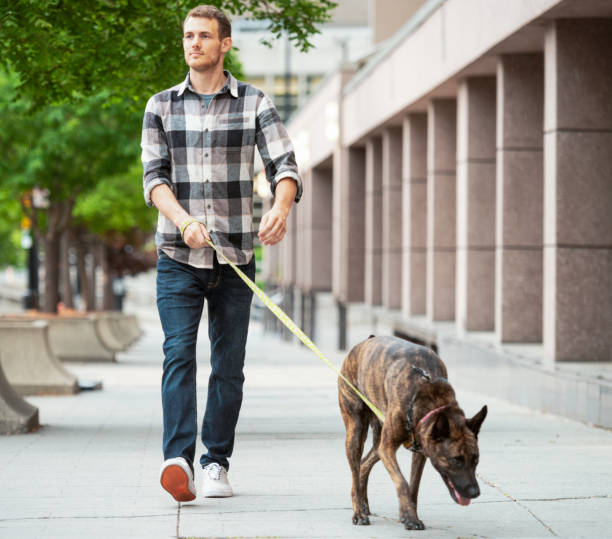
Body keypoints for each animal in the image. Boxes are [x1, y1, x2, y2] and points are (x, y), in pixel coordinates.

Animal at [340, 336, 488, 528]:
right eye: (456, 460)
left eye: (475, 459)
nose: (475, 492)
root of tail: (366, 341)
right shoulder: (388, 448)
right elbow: (402, 483)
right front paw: (408, 516)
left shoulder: (420, 451)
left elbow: (414, 487)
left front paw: (410, 515)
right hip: (356, 432)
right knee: (355, 470)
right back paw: (358, 512)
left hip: (378, 443)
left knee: (363, 465)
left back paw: (364, 505)